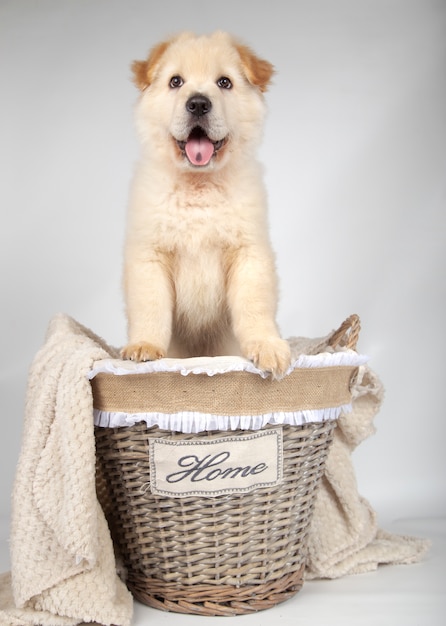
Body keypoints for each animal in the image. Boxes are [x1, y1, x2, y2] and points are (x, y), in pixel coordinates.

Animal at [120, 31, 290, 376]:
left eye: (224, 82)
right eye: (175, 81)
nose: (198, 103)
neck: (198, 185)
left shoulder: (248, 252)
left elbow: (255, 307)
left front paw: (268, 346)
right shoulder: (149, 254)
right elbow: (151, 306)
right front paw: (145, 346)